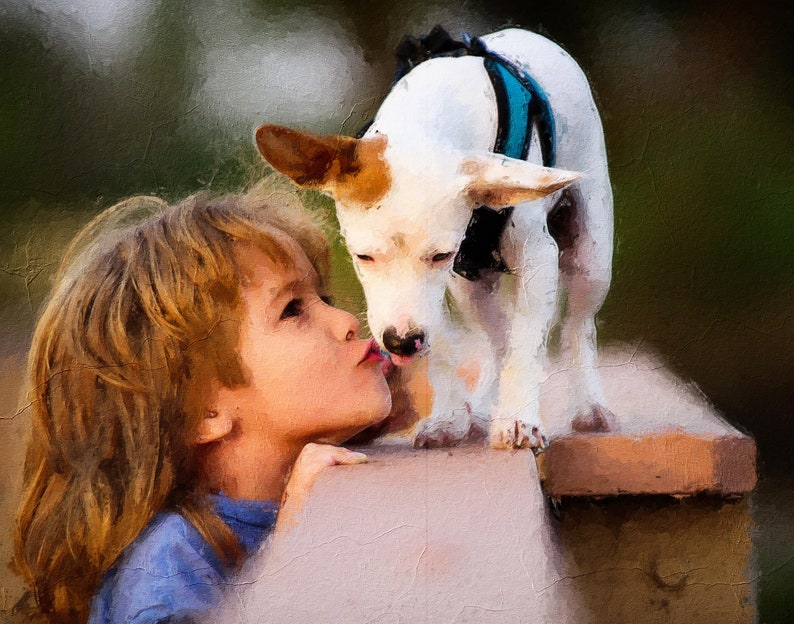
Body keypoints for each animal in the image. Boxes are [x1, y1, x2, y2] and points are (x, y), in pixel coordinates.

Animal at [254, 28, 612, 448]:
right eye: (363, 257)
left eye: (440, 255)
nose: (401, 342)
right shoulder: (445, 285)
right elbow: (445, 347)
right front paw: (449, 418)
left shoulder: (536, 258)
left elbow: (526, 345)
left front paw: (518, 419)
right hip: (471, 286)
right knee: (496, 338)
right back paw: (482, 406)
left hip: (591, 255)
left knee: (577, 327)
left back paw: (589, 406)